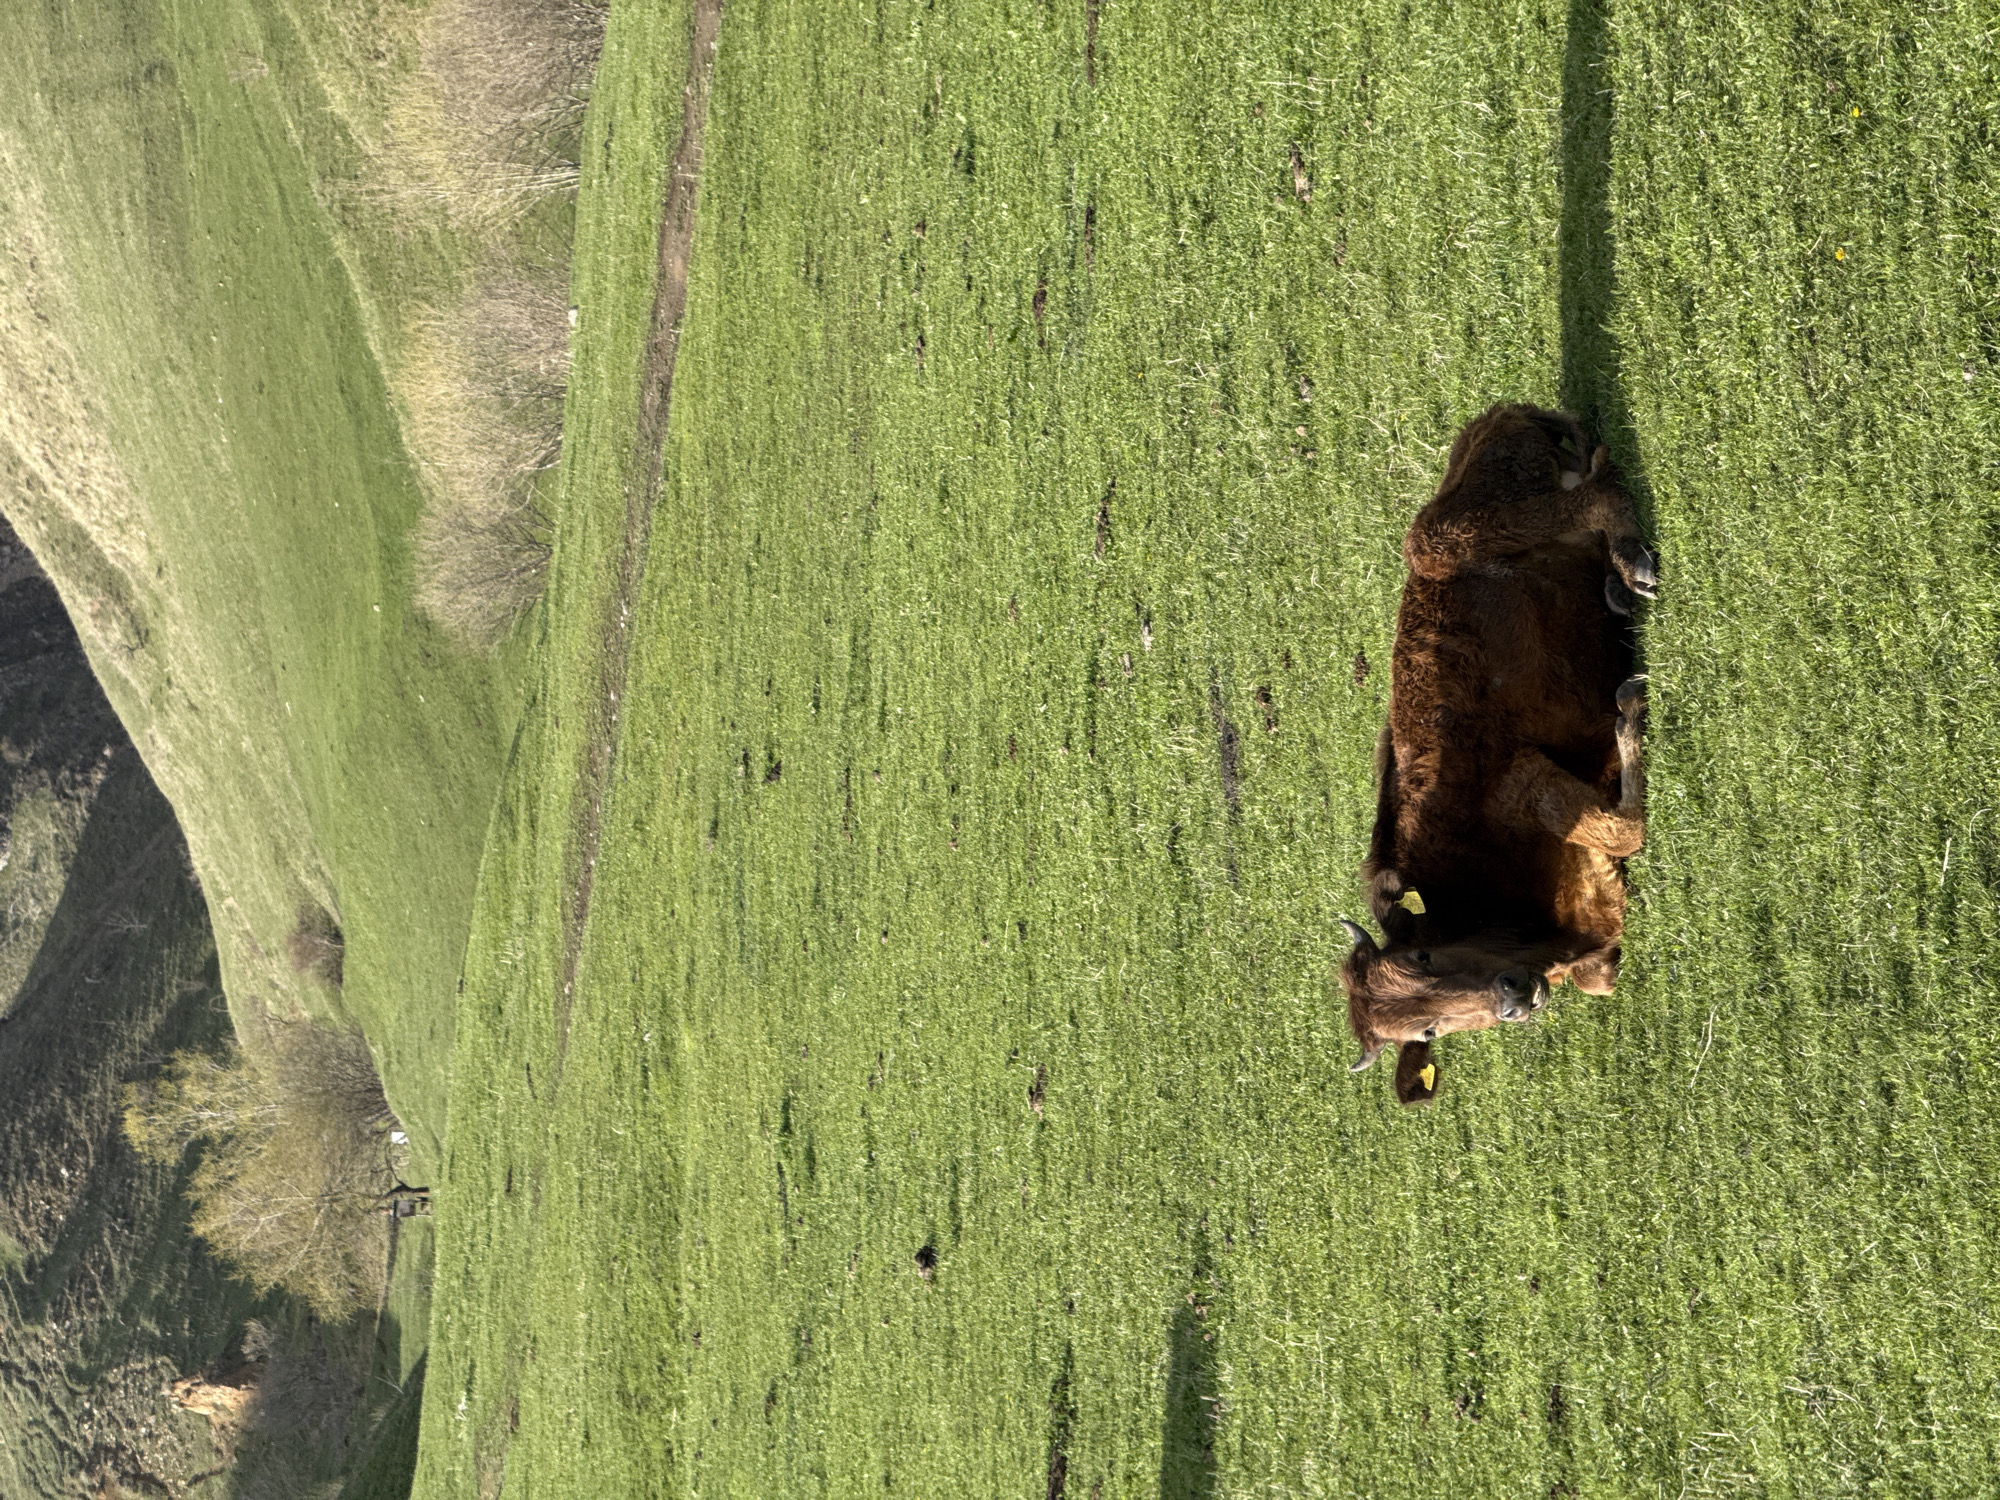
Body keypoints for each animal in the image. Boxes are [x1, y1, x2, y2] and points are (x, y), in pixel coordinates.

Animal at [1341, 404, 1656, 1105]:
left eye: (1421, 957)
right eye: (1425, 1031)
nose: (1511, 996)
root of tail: (1492, 421)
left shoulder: (1522, 778)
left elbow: (1625, 830)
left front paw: (1630, 714)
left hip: (1444, 537)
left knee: (1594, 495)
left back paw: (1632, 568)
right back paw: (1618, 587)